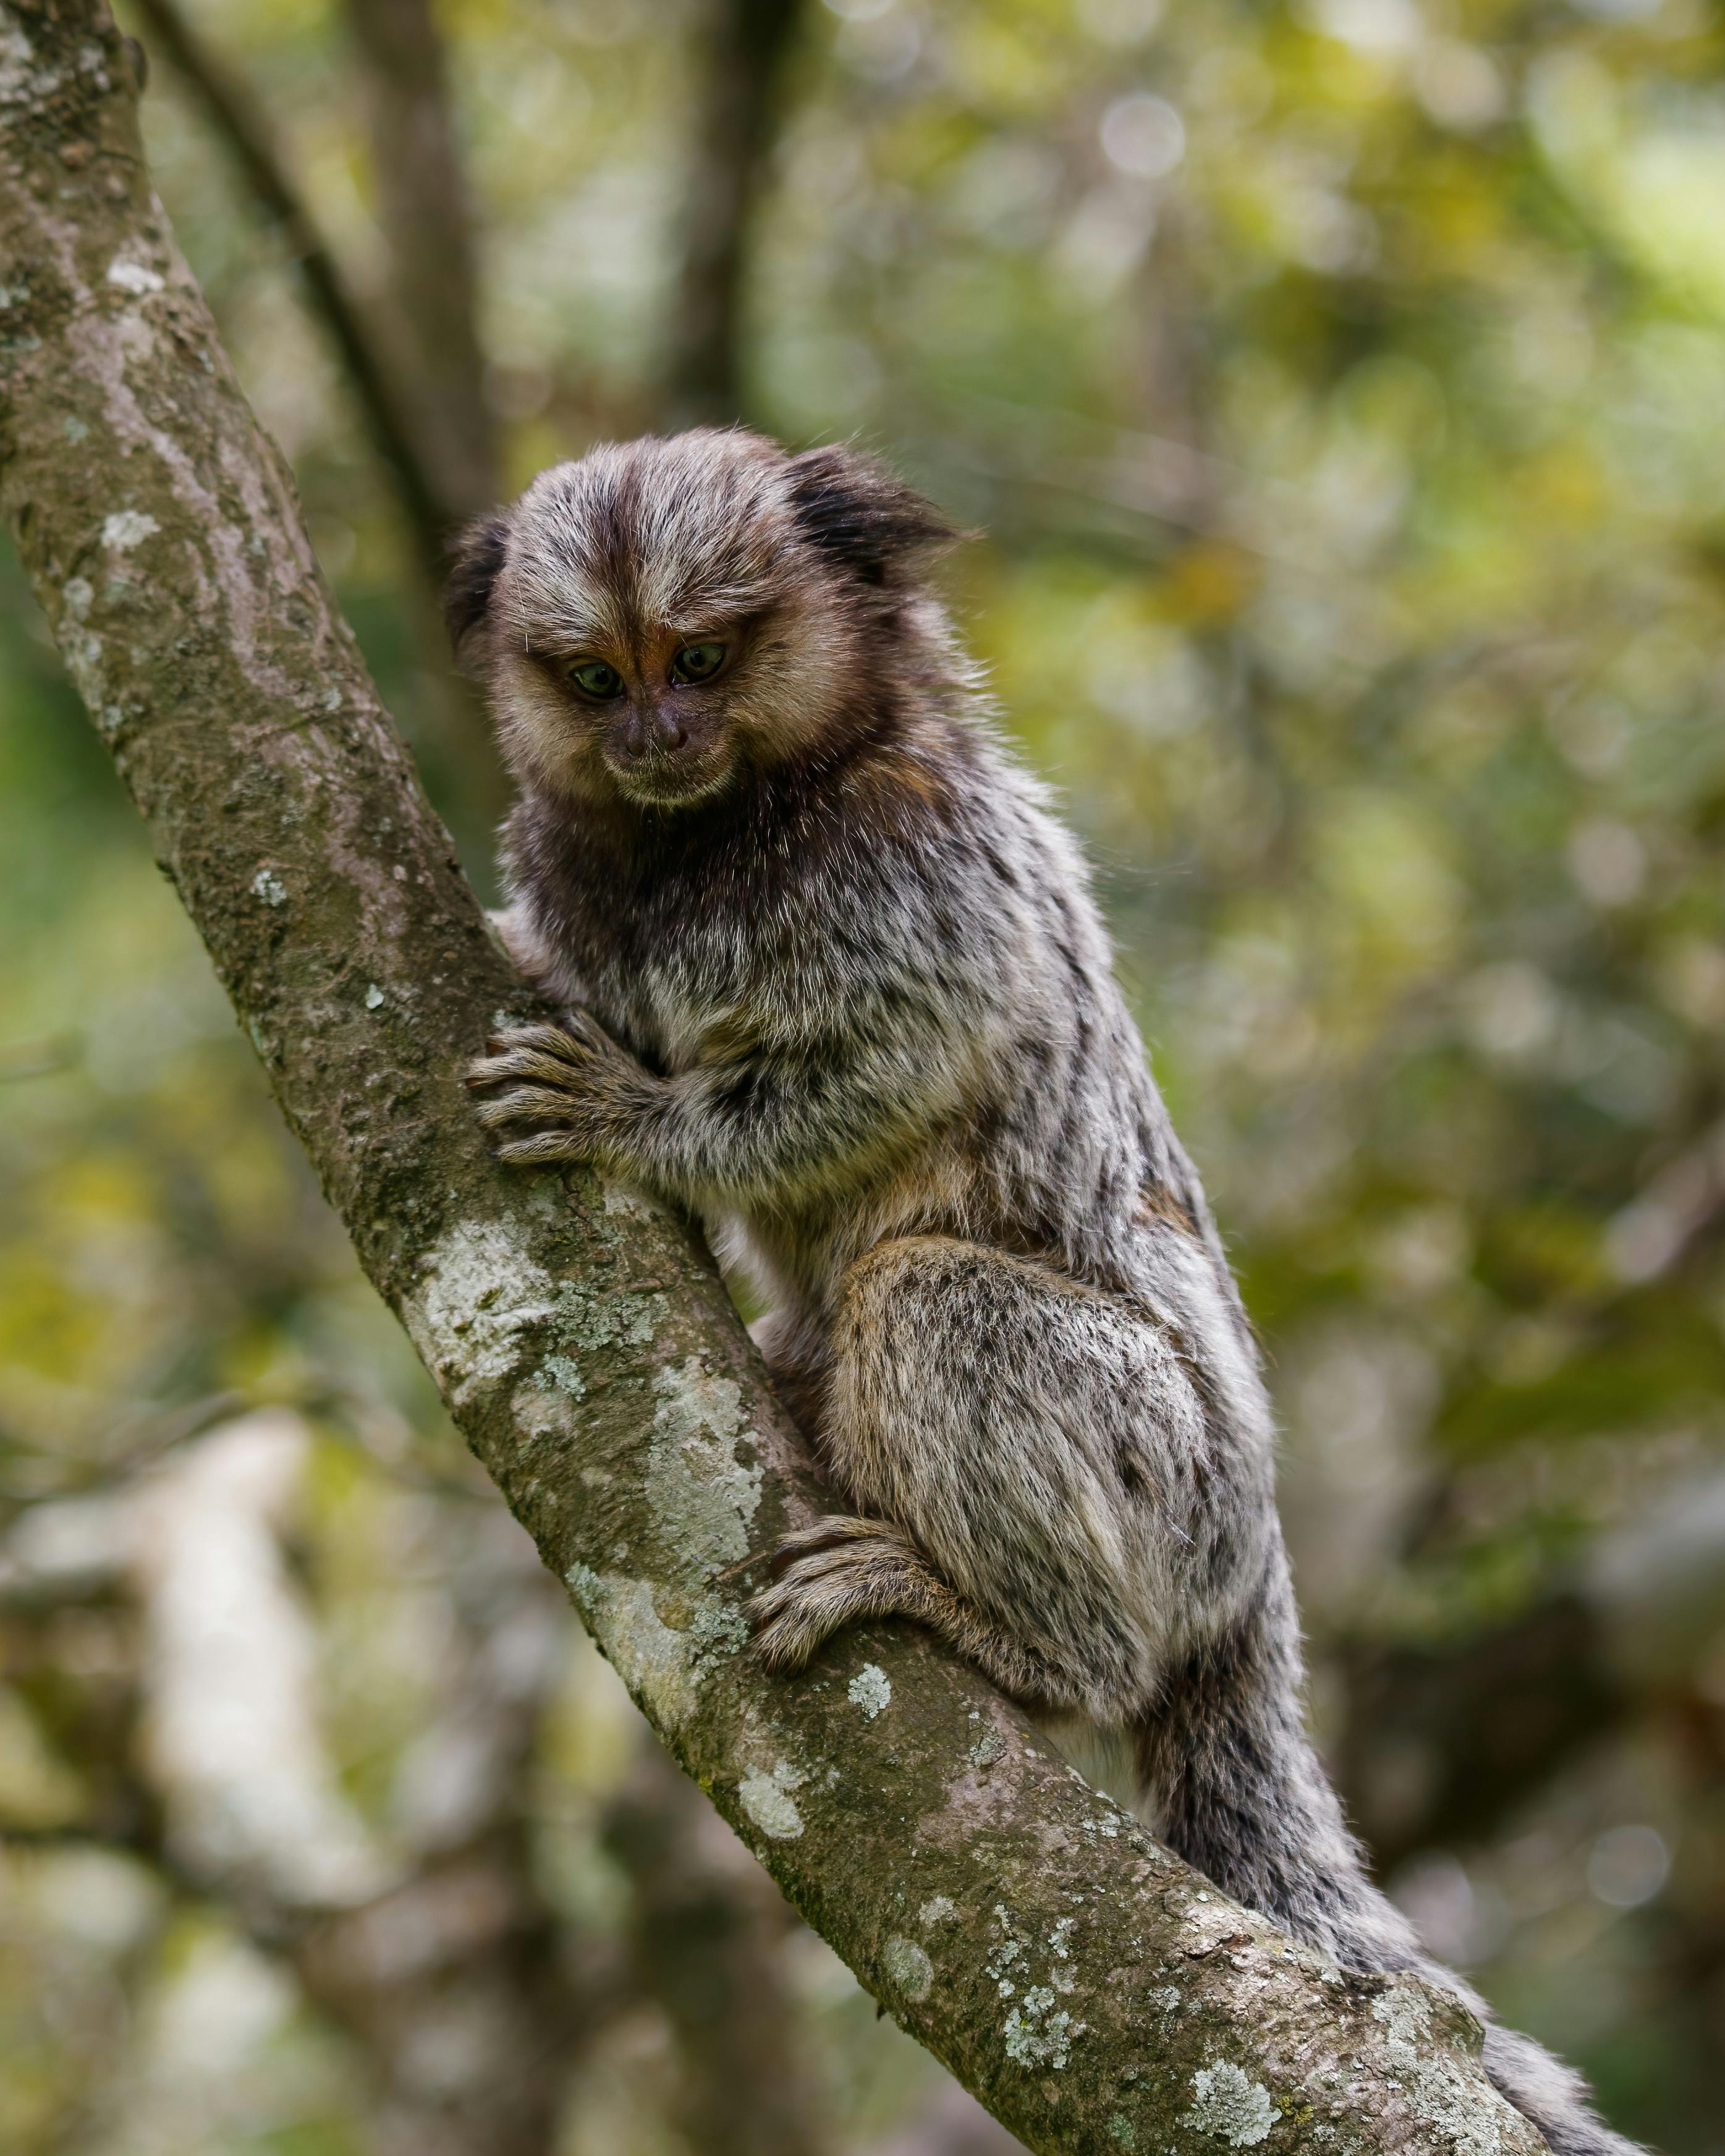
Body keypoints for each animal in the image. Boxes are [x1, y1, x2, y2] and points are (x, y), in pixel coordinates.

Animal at [457, 429, 1647, 2147]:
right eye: (594, 678)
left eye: (703, 661)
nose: (655, 736)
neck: (702, 844)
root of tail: (1256, 1565)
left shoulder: (918, 874)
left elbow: (881, 1068)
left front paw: (643, 1121)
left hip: (1176, 1473)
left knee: (920, 1298)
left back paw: (1014, 1633)